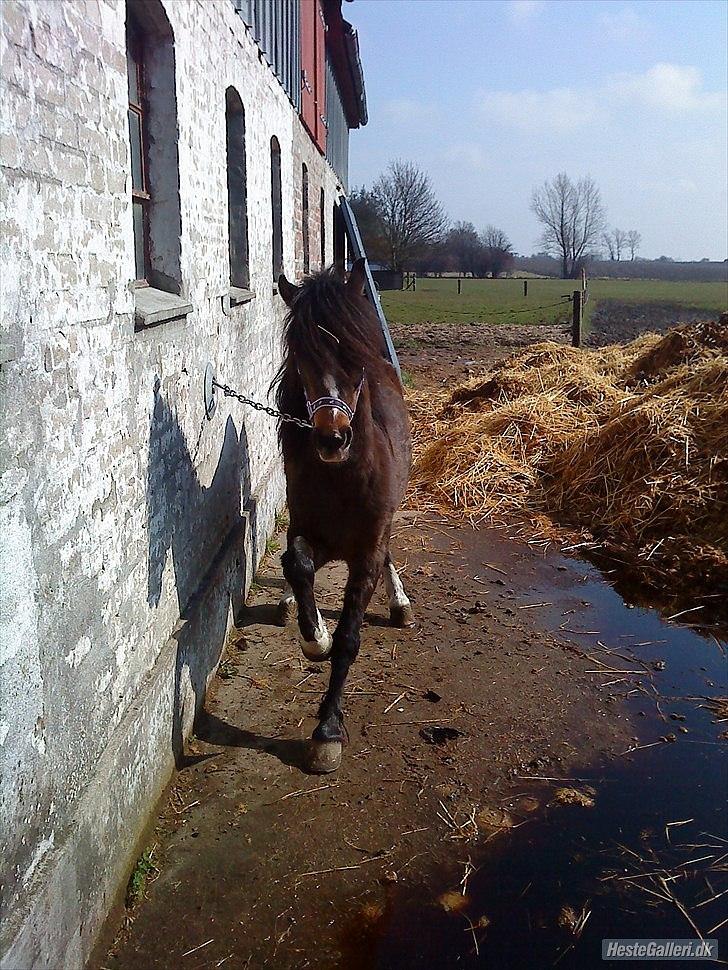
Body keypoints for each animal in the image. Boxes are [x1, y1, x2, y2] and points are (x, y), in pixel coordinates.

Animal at [274, 259, 413, 773]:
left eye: (355, 355)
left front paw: (328, 730)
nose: (333, 439)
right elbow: (295, 565)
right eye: (300, 356)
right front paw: (313, 636)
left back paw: (400, 603)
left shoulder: (366, 549)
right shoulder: (305, 532)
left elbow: (350, 639)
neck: (341, 480)